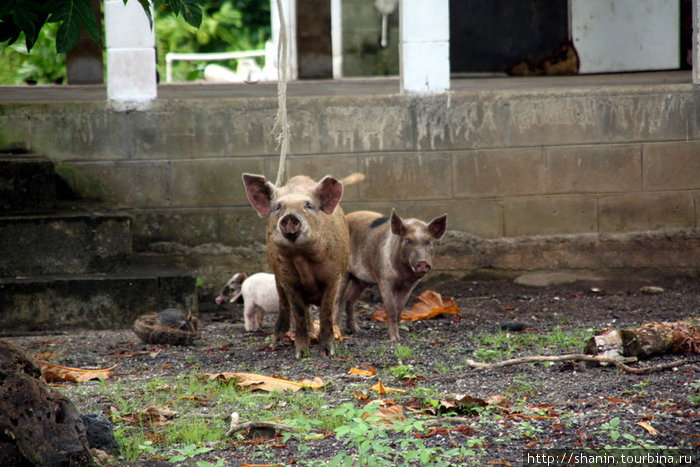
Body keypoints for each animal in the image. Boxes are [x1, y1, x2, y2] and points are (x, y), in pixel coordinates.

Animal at [242, 174, 350, 360]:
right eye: (278, 206)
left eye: (308, 205)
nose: (289, 217)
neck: (301, 258)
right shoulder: (287, 279)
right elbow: (298, 312)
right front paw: (301, 354)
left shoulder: (333, 276)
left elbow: (326, 311)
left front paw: (327, 353)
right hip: (277, 280)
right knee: (287, 307)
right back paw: (276, 342)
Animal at [334, 210, 446, 342]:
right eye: (407, 241)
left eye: (428, 242)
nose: (422, 263)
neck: (403, 276)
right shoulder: (384, 280)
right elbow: (391, 309)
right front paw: (393, 339)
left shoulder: (408, 287)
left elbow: (399, 309)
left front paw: (398, 337)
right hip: (342, 271)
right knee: (337, 301)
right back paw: (337, 334)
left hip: (361, 280)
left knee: (349, 299)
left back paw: (357, 330)